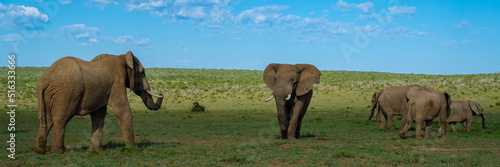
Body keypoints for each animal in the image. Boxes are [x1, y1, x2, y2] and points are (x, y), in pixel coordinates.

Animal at [34, 51, 163, 154]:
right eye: (142, 73)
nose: (161, 93)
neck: (122, 56)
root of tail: (44, 79)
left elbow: (98, 114)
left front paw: (95, 151)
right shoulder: (116, 83)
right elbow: (123, 110)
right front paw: (133, 149)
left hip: (50, 95)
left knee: (47, 120)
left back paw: (39, 151)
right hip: (66, 93)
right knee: (61, 119)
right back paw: (60, 152)